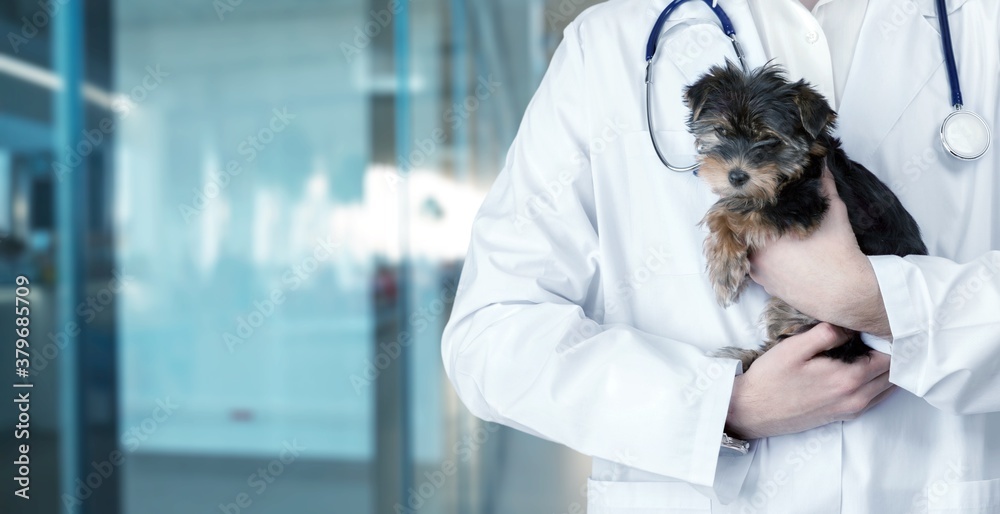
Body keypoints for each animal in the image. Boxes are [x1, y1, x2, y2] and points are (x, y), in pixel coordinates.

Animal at [684, 62, 924, 368]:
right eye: (722, 131)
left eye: (770, 140)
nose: (736, 176)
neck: (794, 168)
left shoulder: (805, 204)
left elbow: (729, 210)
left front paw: (724, 270)